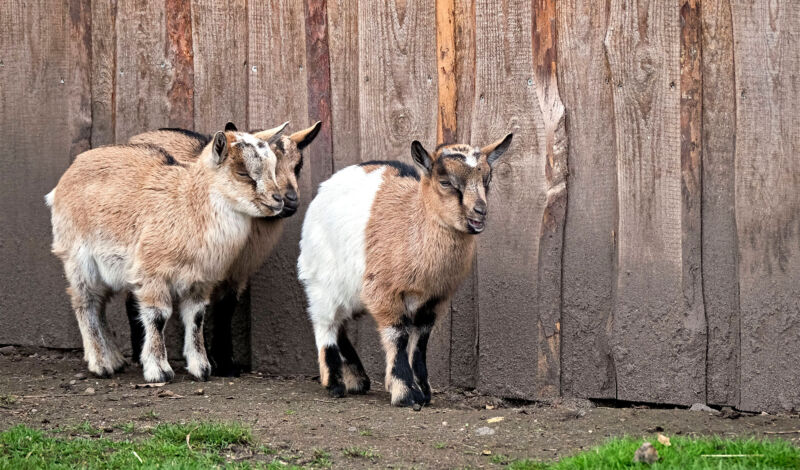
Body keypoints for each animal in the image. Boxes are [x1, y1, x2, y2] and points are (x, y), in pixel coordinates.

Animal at [46, 126, 284, 382]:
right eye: (242, 172)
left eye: (273, 168)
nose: (278, 200)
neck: (188, 205)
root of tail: (68, 175)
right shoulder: (152, 273)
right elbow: (158, 316)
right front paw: (159, 371)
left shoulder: (200, 280)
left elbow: (196, 317)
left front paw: (201, 368)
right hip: (78, 258)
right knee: (85, 301)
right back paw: (101, 364)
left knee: (99, 304)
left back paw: (114, 359)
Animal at [125, 120, 318, 374]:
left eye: (298, 166)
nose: (290, 200)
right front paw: (209, 359)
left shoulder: (237, 273)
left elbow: (225, 310)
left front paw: (225, 362)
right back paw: (139, 353)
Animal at [296, 134, 512, 406]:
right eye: (445, 182)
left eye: (487, 181)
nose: (480, 212)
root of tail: (325, 187)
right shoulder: (383, 291)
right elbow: (398, 336)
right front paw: (406, 394)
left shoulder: (434, 301)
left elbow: (419, 342)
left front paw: (423, 391)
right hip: (321, 280)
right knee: (325, 322)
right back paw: (335, 383)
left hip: (351, 292)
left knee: (341, 324)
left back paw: (358, 380)